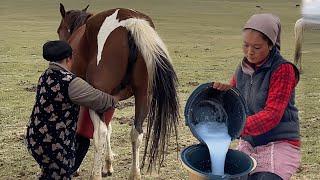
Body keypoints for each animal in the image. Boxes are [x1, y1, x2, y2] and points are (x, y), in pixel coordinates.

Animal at [57, 3, 180, 179]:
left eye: (60, 30)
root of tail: (130, 22)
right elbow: (110, 128)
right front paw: (108, 164)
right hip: (143, 95)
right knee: (136, 133)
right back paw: (134, 174)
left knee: (100, 134)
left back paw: (95, 174)